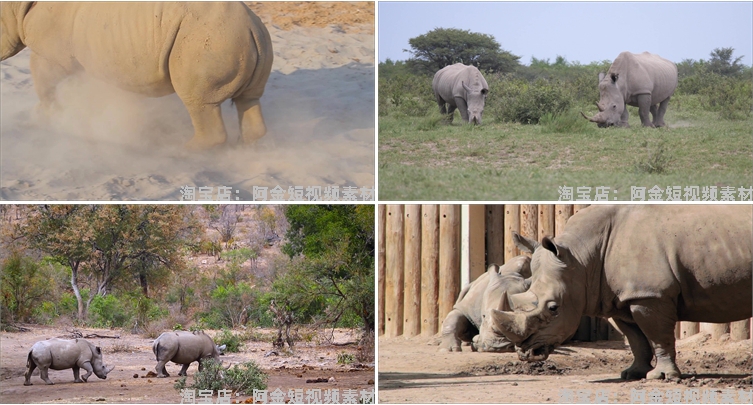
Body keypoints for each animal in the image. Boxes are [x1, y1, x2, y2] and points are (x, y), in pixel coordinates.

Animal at [0, 0, 274, 149]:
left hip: (209, 40)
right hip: (254, 39)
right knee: (250, 98)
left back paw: (182, 151)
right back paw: (244, 147)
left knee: (199, 102)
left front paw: (42, 119)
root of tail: (251, 25)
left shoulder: (51, 53)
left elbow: (44, 83)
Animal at [484, 207, 748, 380]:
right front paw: (632, 374)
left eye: (553, 308)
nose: (525, 353)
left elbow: (658, 336)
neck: (580, 258)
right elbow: (636, 339)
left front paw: (662, 377)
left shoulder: (650, 295)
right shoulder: (622, 298)